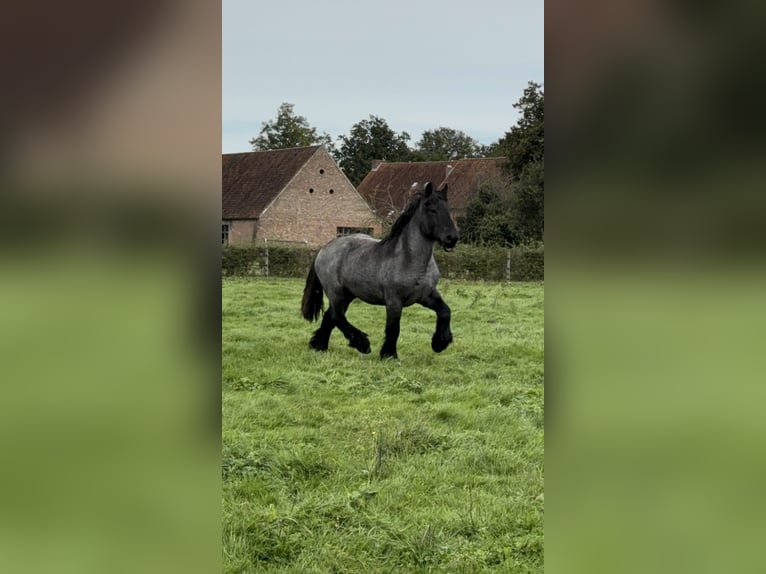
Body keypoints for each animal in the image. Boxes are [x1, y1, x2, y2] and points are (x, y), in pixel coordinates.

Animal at [300, 181, 460, 360]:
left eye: (448, 209)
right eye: (431, 209)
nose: (452, 238)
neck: (410, 261)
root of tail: (324, 249)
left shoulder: (426, 295)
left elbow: (445, 311)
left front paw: (440, 343)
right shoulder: (394, 301)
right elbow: (393, 328)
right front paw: (389, 355)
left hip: (348, 294)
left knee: (330, 317)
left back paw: (319, 346)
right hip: (336, 293)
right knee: (337, 316)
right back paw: (361, 344)